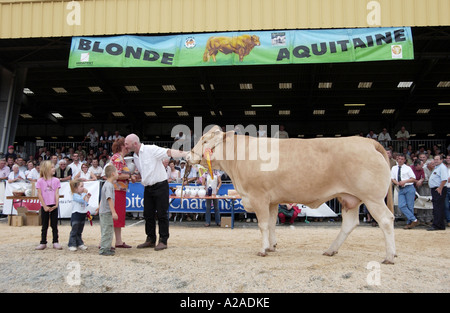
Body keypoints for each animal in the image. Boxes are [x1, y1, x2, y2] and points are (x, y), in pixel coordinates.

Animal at [186, 125, 398, 264]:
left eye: (205, 140)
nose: (188, 156)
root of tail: (367, 141)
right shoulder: (272, 201)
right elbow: (272, 224)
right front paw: (271, 246)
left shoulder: (259, 197)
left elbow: (263, 225)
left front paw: (262, 250)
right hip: (350, 198)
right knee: (350, 224)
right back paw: (331, 250)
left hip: (372, 198)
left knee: (386, 220)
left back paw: (389, 256)